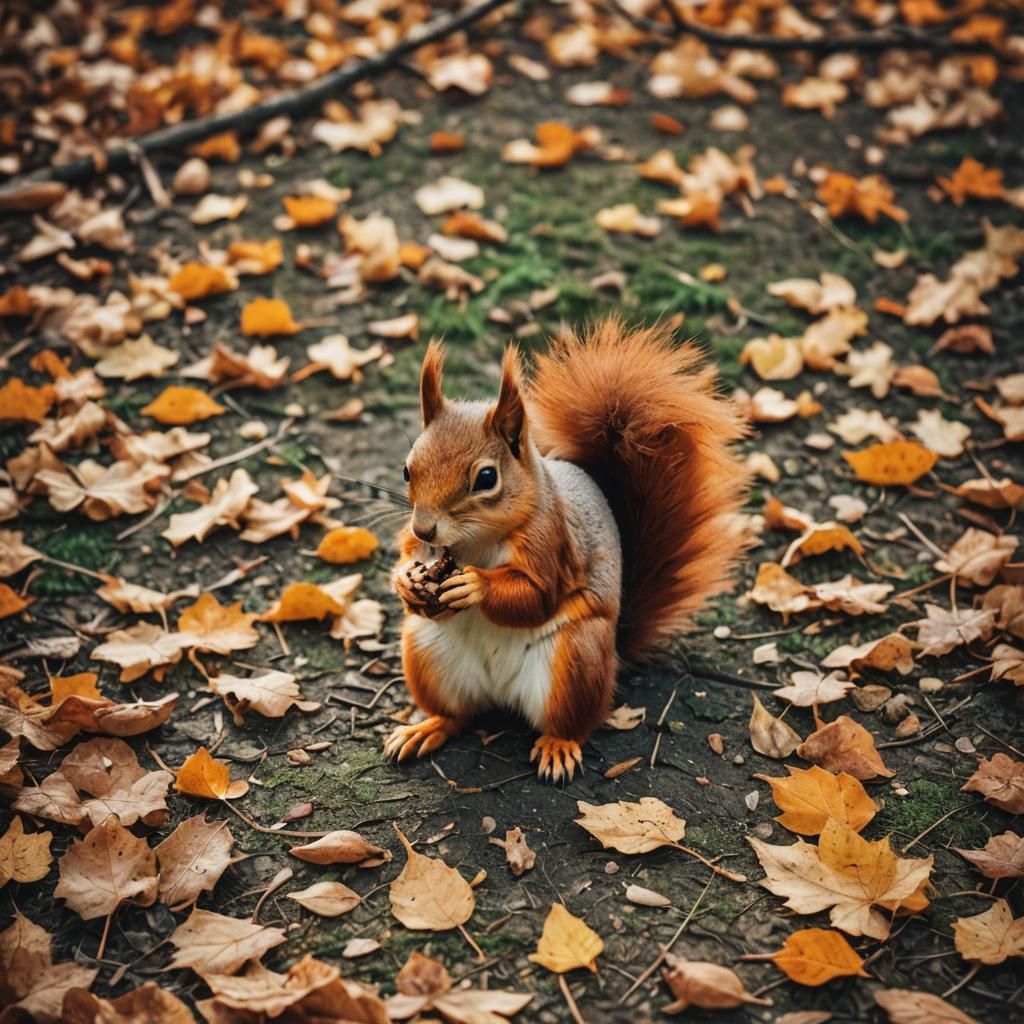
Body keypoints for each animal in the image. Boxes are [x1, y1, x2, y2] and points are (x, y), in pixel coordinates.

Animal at [385, 319, 749, 781]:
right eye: (406, 469)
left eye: (486, 478)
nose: (425, 527)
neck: (475, 541)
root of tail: (500, 693)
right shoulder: (422, 546)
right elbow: (409, 560)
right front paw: (406, 582)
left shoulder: (551, 542)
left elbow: (536, 596)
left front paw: (475, 587)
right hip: (427, 654)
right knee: (456, 714)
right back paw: (427, 727)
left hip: (576, 659)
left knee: (570, 721)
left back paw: (558, 746)